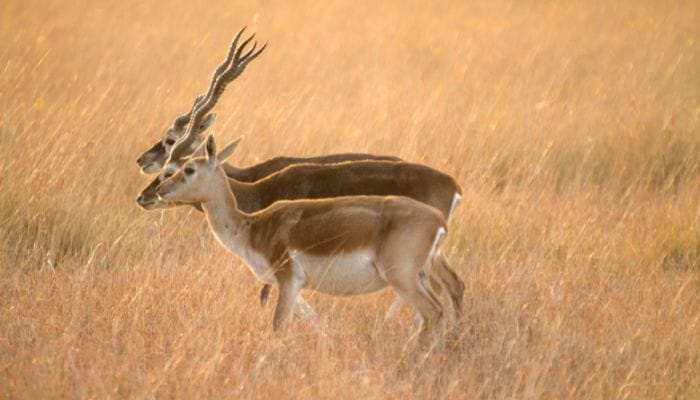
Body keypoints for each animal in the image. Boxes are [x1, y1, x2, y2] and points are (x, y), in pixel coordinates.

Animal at [156, 135, 452, 344]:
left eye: (188, 168)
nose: (159, 190)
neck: (254, 225)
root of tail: (438, 220)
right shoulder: (288, 287)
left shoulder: (288, 281)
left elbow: (278, 326)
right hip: (421, 276)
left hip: (402, 278)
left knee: (434, 312)